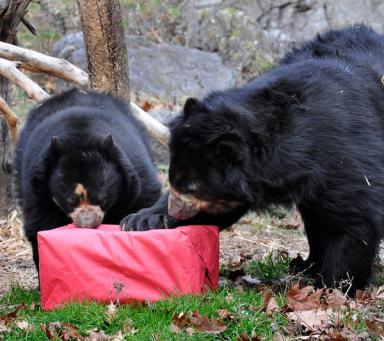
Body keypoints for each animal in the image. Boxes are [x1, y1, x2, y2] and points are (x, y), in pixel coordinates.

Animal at [15, 88, 160, 268]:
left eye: (102, 200)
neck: (80, 138)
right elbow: (39, 223)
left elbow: (144, 198)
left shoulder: (135, 170)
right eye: (69, 202)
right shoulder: (37, 186)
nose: (87, 224)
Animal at [121, 24, 384, 290]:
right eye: (174, 182)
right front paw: (141, 220)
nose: (174, 211)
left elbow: (356, 217)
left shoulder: (343, 151)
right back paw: (306, 265)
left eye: (192, 188)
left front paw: (333, 285)